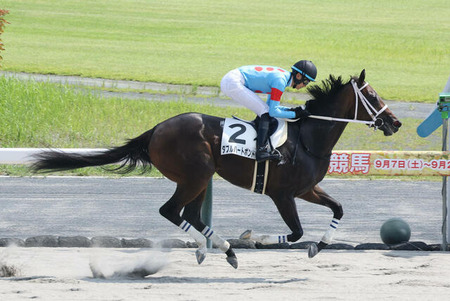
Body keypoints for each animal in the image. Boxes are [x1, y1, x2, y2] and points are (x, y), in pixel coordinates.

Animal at [31, 69, 400, 268]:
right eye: (372, 95)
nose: (395, 122)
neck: (308, 138)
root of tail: (156, 129)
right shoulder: (282, 194)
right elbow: (294, 232)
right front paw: (255, 238)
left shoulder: (306, 189)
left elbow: (337, 209)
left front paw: (317, 247)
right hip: (196, 175)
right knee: (171, 210)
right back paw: (224, 247)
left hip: (199, 177)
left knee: (190, 215)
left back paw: (222, 250)